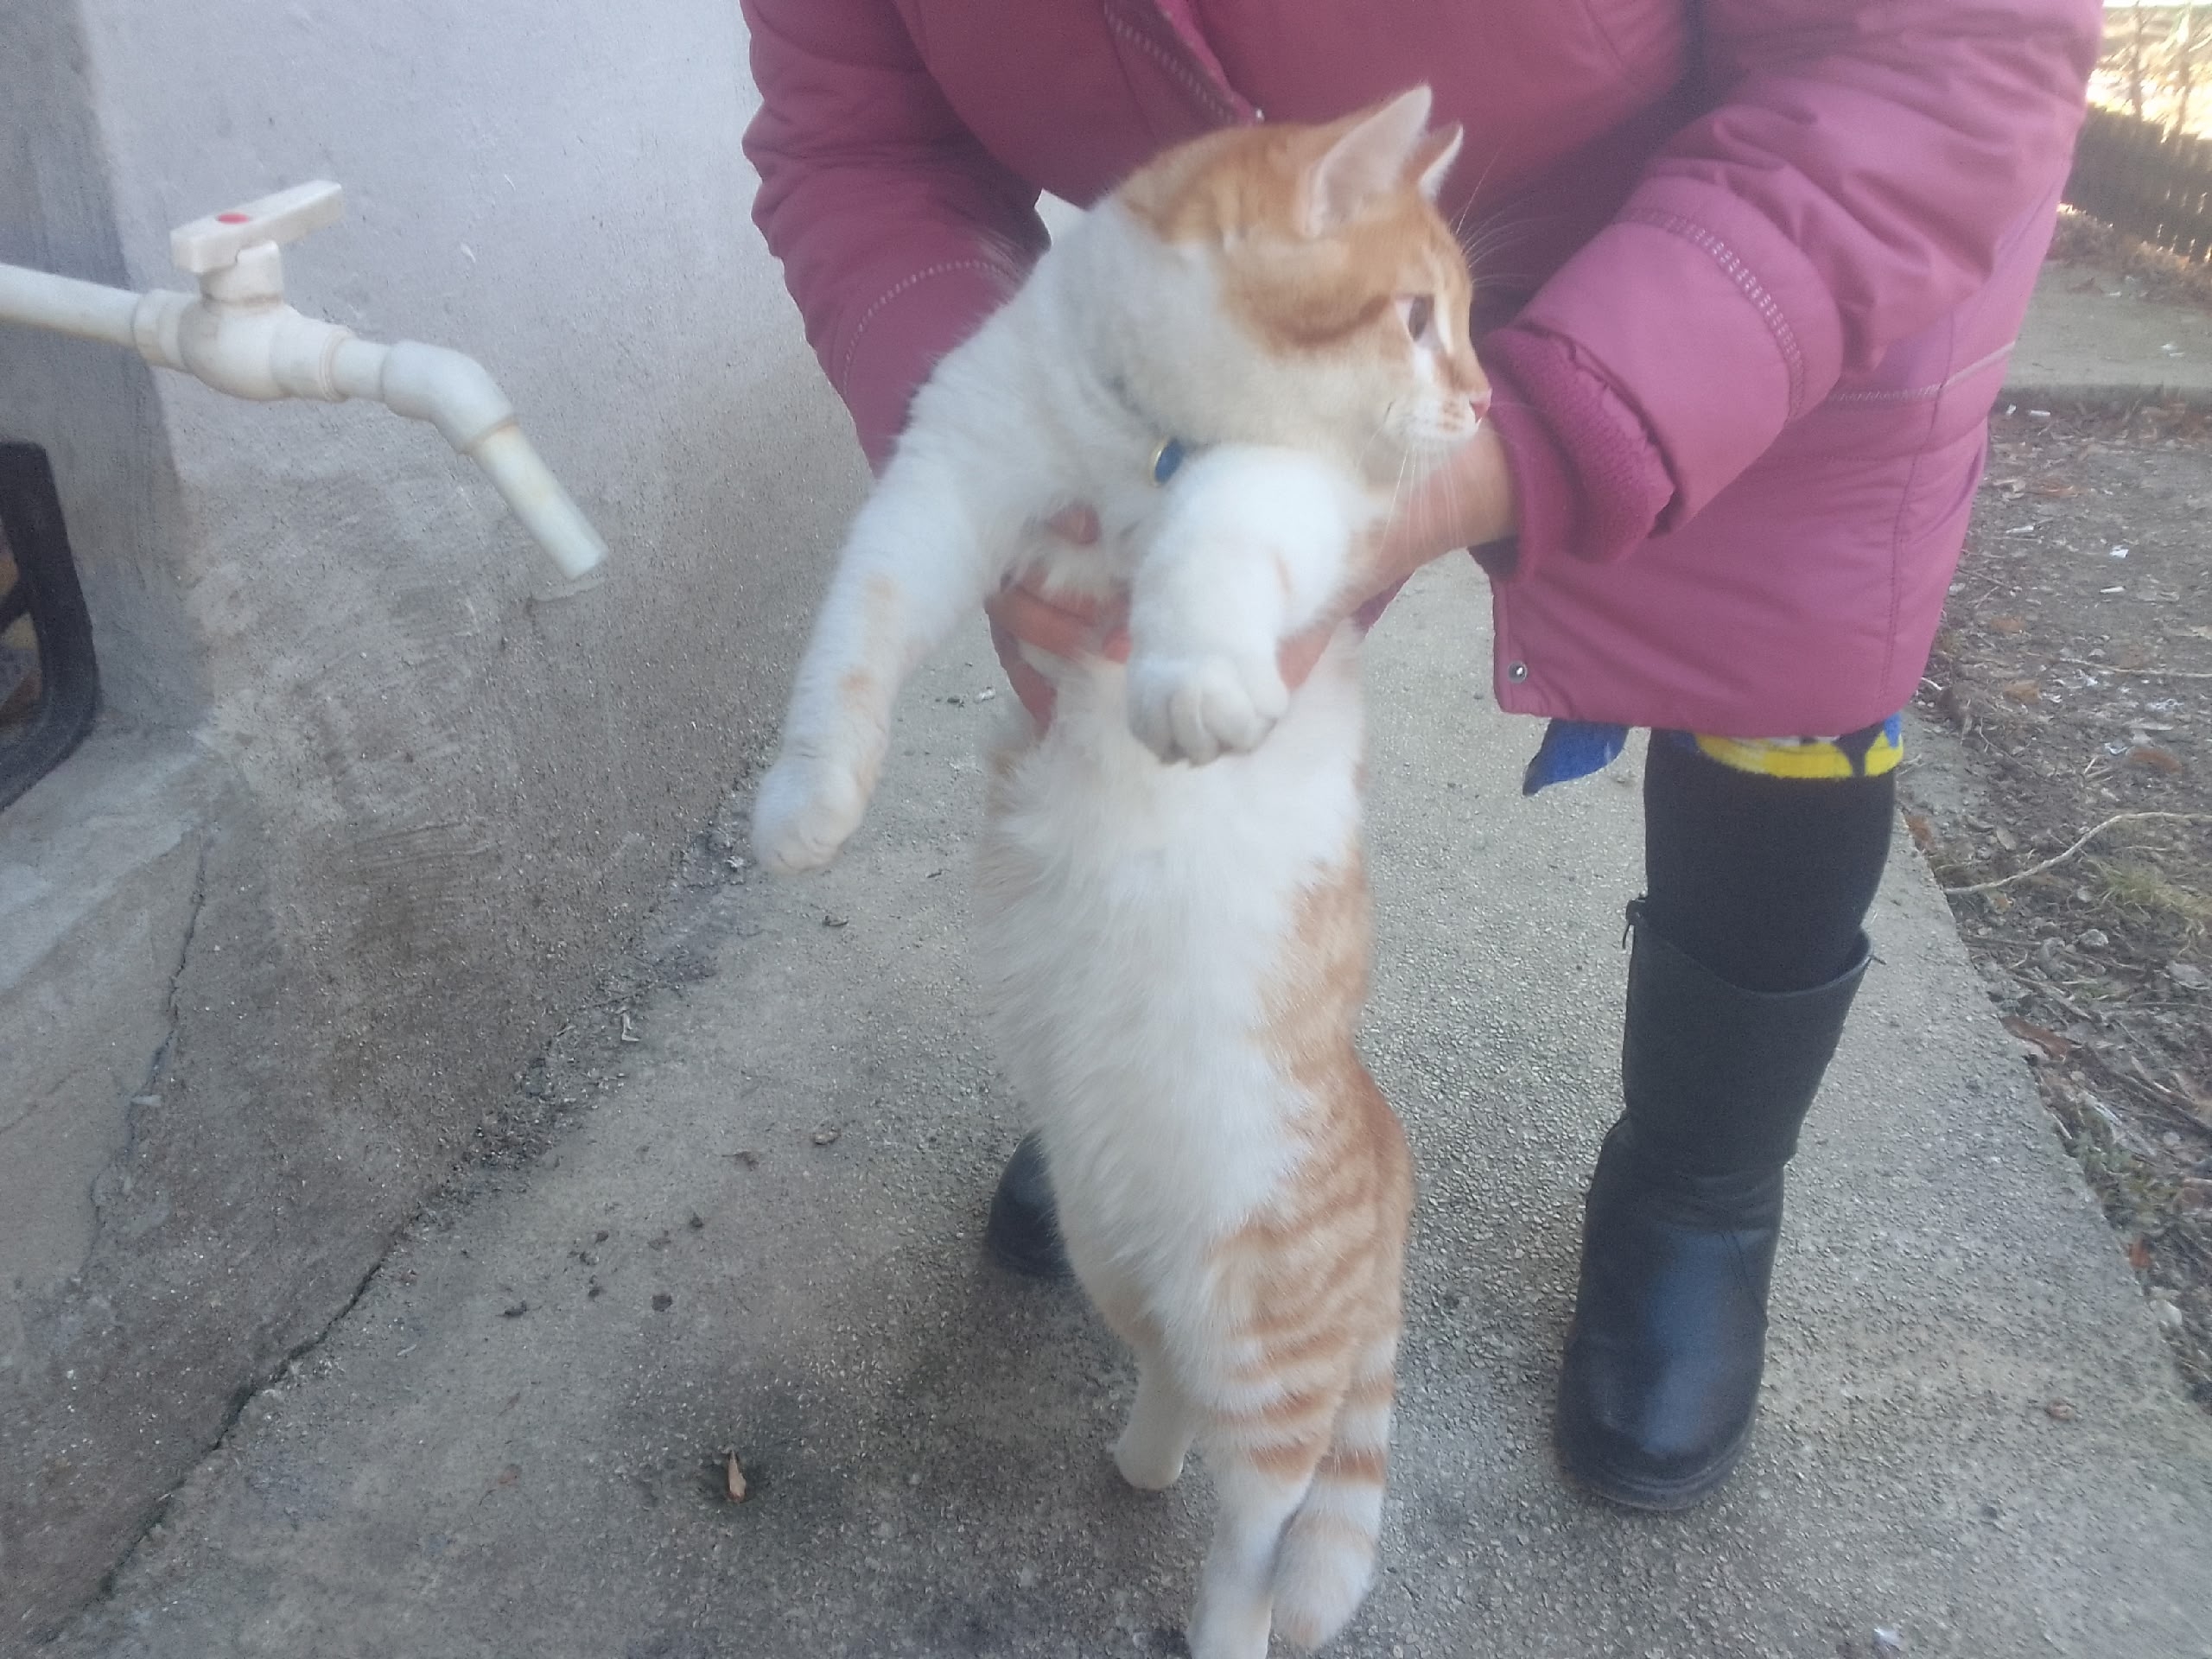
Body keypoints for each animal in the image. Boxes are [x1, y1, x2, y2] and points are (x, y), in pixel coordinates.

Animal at [751, 86, 1489, 1659]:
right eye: (1416, 317)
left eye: (1459, 322)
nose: (1483, 407)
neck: (1135, 438)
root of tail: (1384, 1134)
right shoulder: (941, 482)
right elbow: (854, 639)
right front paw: (806, 798)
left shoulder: (1289, 500)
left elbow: (1221, 543)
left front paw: (1193, 677)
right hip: (1113, 1255)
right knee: (1172, 1394)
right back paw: (1141, 1461)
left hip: (1271, 1350)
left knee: (1260, 1529)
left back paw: (1224, 1625)